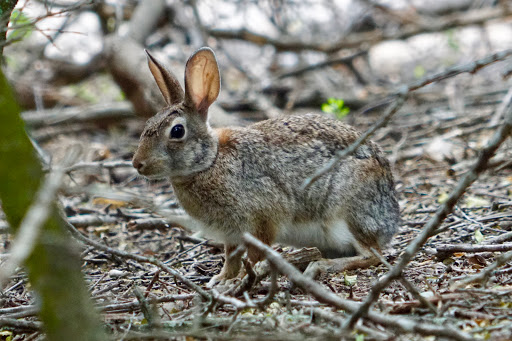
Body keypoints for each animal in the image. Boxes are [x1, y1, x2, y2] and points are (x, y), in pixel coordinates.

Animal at [132, 46, 400, 282]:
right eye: (148, 124)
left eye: (177, 131)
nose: (137, 164)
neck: (209, 162)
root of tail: (390, 218)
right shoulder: (232, 235)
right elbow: (231, 258)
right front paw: (221, 280)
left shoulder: (262, 220)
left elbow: (255, 254)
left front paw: (239, 279)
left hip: (347, 213)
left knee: (372, 255)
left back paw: (321, 265)